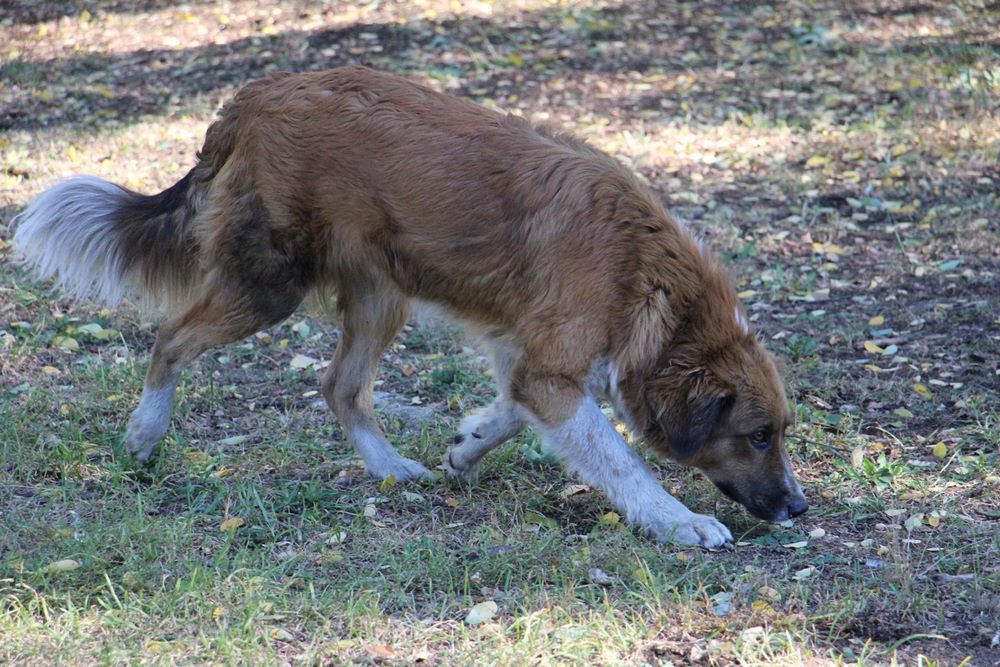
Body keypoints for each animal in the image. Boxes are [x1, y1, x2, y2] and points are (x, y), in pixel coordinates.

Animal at [12, 66, 807, 547]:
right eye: (758, 435)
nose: (799, 507)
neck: (644, 272)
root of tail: (255, 97)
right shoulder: (550, 368)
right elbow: (619, 458)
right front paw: (678, 521)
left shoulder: (527, 356)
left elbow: (512, 411)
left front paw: (467, 443)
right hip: (270, 285)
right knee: (171, 339)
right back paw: (144, 436)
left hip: (378, 297)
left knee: (339, 386)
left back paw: (390, 467)